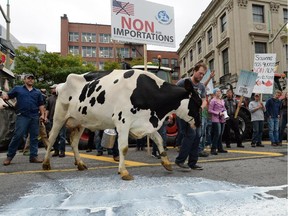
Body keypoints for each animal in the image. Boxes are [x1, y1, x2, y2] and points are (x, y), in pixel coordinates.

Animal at [43, 69, 202, 181]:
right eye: (198, 102)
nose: (200, 124)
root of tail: (61, 84)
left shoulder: (145, 121)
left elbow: (159, 140)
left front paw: (167, 163)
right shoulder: (123, 121)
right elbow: (124, 148)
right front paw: (124, 172)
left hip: (81, 120)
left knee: (74, 141)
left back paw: (80, 164)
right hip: (59, 116)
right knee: (51, 138)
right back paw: (46, 164)